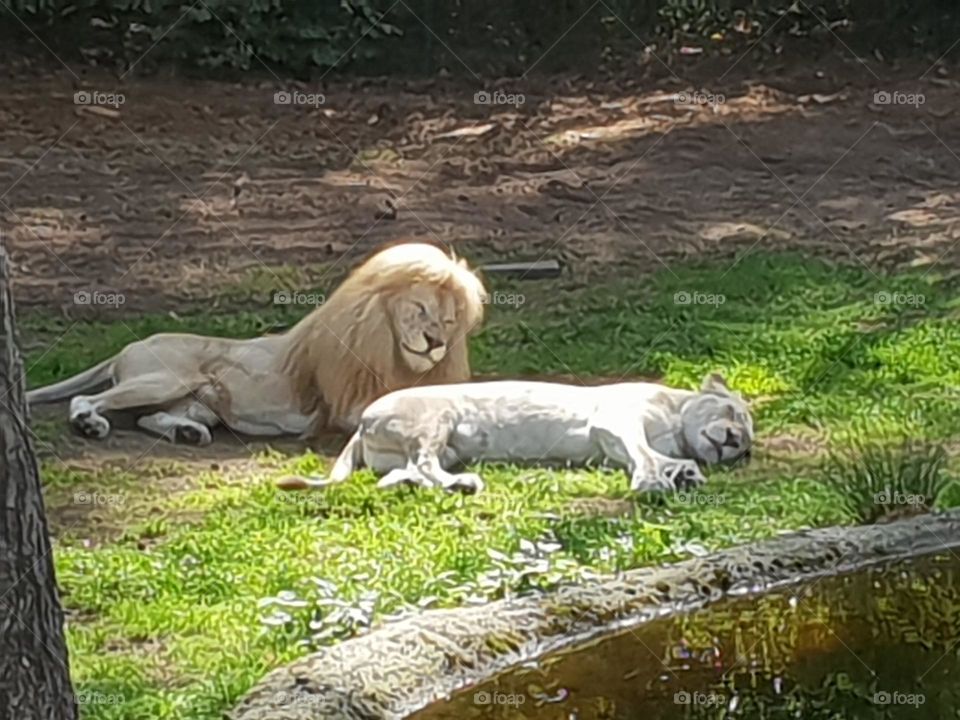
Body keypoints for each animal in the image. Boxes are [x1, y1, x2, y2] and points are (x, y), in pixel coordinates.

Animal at [27, 242, 488, 444]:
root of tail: (129, 346)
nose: (435, 342)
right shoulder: (344, 407)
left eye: (449, 320)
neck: (391, 353)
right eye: (420, 309)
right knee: (87, 401)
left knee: (148, 419)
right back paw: (89, 424)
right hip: (165, 378)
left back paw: (188, 432)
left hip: (194, 400)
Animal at [277, 373, 753, 494]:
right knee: (424, 465)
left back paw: (449, 484)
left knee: (404, 474)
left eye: (749, 448)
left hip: (435, 448)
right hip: (435, 421)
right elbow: (646, 454)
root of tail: (361, 424)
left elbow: (648, 454)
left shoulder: (613, 444)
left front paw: (682, 472)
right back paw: (465, 484)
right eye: (732, 411)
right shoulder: (617, 420)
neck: (676, 418)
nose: (735, 441)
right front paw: (659, 479)